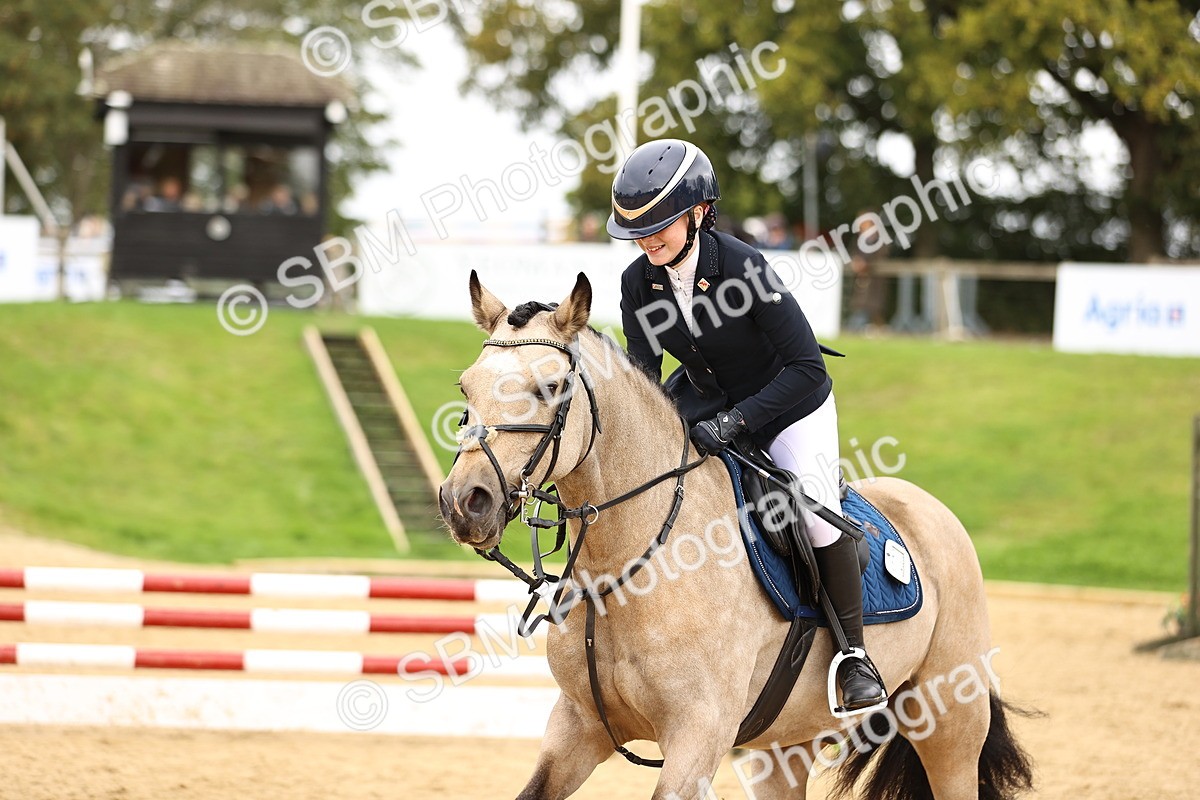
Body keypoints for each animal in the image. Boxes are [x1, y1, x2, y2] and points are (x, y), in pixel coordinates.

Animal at [439, 271, 1034, 800]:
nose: (465, 503)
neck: (631, 564)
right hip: (786, 742)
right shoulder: (579, 726)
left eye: (552, 387)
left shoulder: (697, 737)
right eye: (466, 386)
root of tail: (931, 508)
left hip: (948, 720)